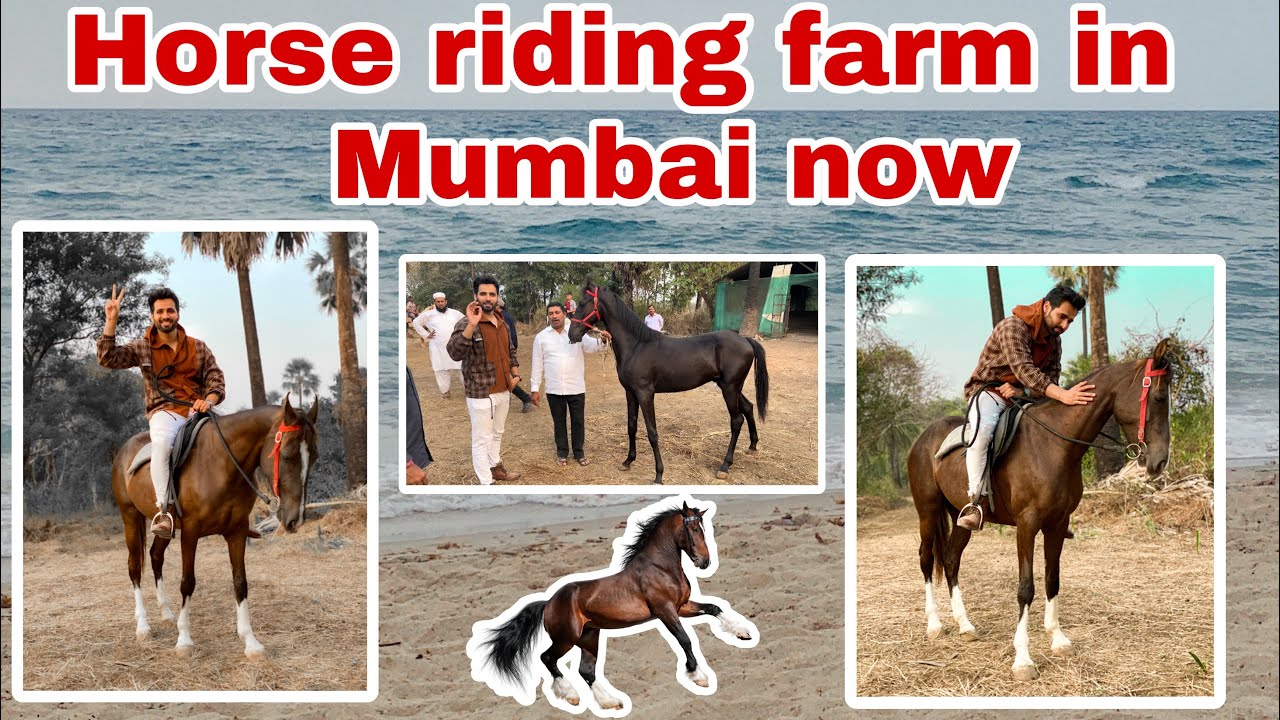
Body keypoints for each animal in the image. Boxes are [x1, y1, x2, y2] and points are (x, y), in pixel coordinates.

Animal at [111, 395, 319, 658]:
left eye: (315, 456)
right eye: (288, 455)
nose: (295, 519)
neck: (221, 463)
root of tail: (124, 450)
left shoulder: (237, 532)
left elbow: (240, 582)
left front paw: (251, 642)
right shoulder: (190, 532)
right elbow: (188, 582)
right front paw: (184, 641)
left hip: (165, 529)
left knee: (156, 557)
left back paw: (166, 614)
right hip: (129, 517)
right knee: (134, 568)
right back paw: (143, 627)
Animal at [468, 497, 759, 716]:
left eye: (703, 529)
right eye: (694, 529)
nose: (705, 562)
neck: (661, 567)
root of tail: (548, 602)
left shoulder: (682, 606)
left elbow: (714, 609)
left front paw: (743, 633)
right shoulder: (665, 611)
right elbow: (685, 639)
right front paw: (698, 677)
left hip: (589, 637)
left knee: (586, 671)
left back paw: (610, 703)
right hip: (567, 638)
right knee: (548, 659)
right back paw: (571, 696)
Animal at [567, 283, 769, 484]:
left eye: (583, 303)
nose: (571, 335)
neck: (636, 346)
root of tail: (745, 340)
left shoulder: (645, 394)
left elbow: (652, 433)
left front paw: (659, 475)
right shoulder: (630, 392)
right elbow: (631, 426)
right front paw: (628, 461)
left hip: (730, 389)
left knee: (736, 420)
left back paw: (725, 466)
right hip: (730, 387)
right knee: (749, 407)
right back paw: (752, 446)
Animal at [907, 339, 1172, 681]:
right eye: (1159, 397)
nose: (1160, 461)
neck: (1053, 446)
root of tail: (922, 438)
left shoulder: (1057, 524)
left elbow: (1051, 580)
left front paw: (1058, 639)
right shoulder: (1027, 525)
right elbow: (1026, 588)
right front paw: (1023, 659)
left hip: (960, 518)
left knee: (951, 561)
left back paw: (965, 625)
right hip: (927, 512)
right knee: (927, 560)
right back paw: (935, 624)